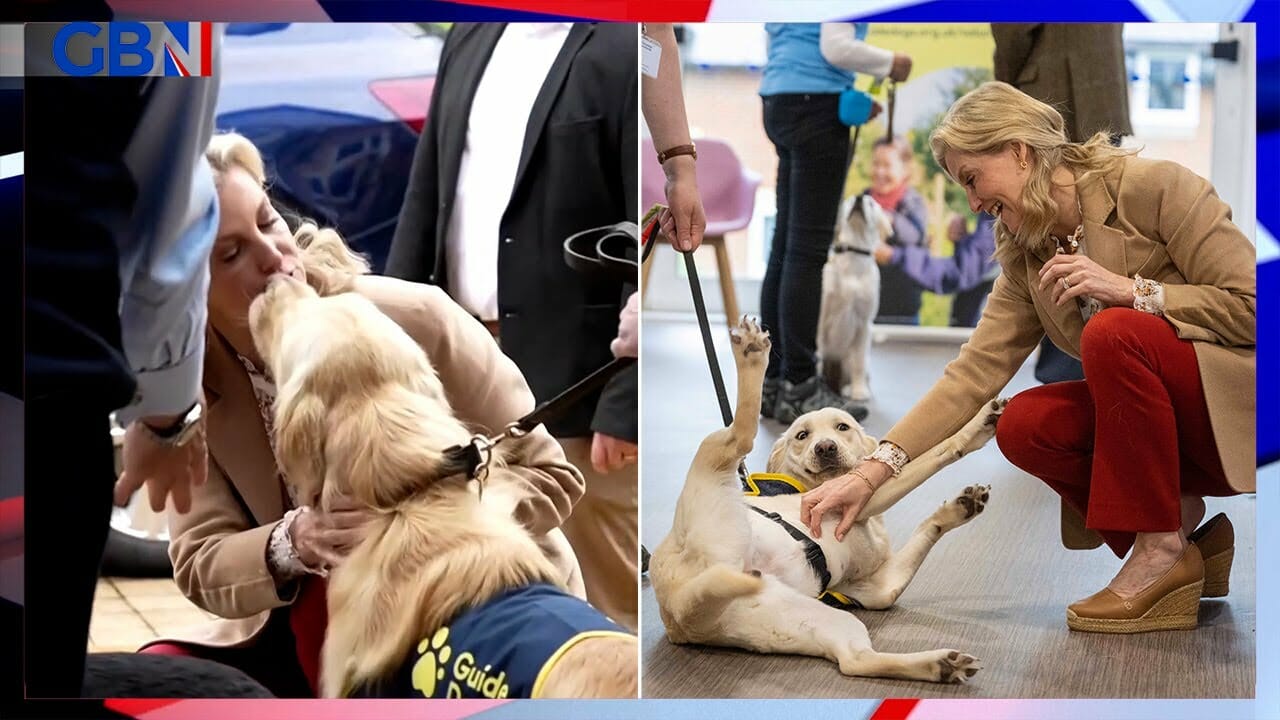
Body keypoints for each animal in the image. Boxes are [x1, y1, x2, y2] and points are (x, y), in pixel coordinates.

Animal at [655, 316, 1003, 681]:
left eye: (842, 427)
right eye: (802, 435)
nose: (825, 448)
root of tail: (678, 608)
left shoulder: (878, 589)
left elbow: (925, 531)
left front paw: (959, 509)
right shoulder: (860, 497)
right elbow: (931, 455)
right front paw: (974, 429)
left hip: (818, 617)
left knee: (854, 660)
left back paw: (940, 665)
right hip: (712, 457)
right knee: (738, 435)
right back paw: (751, 353)